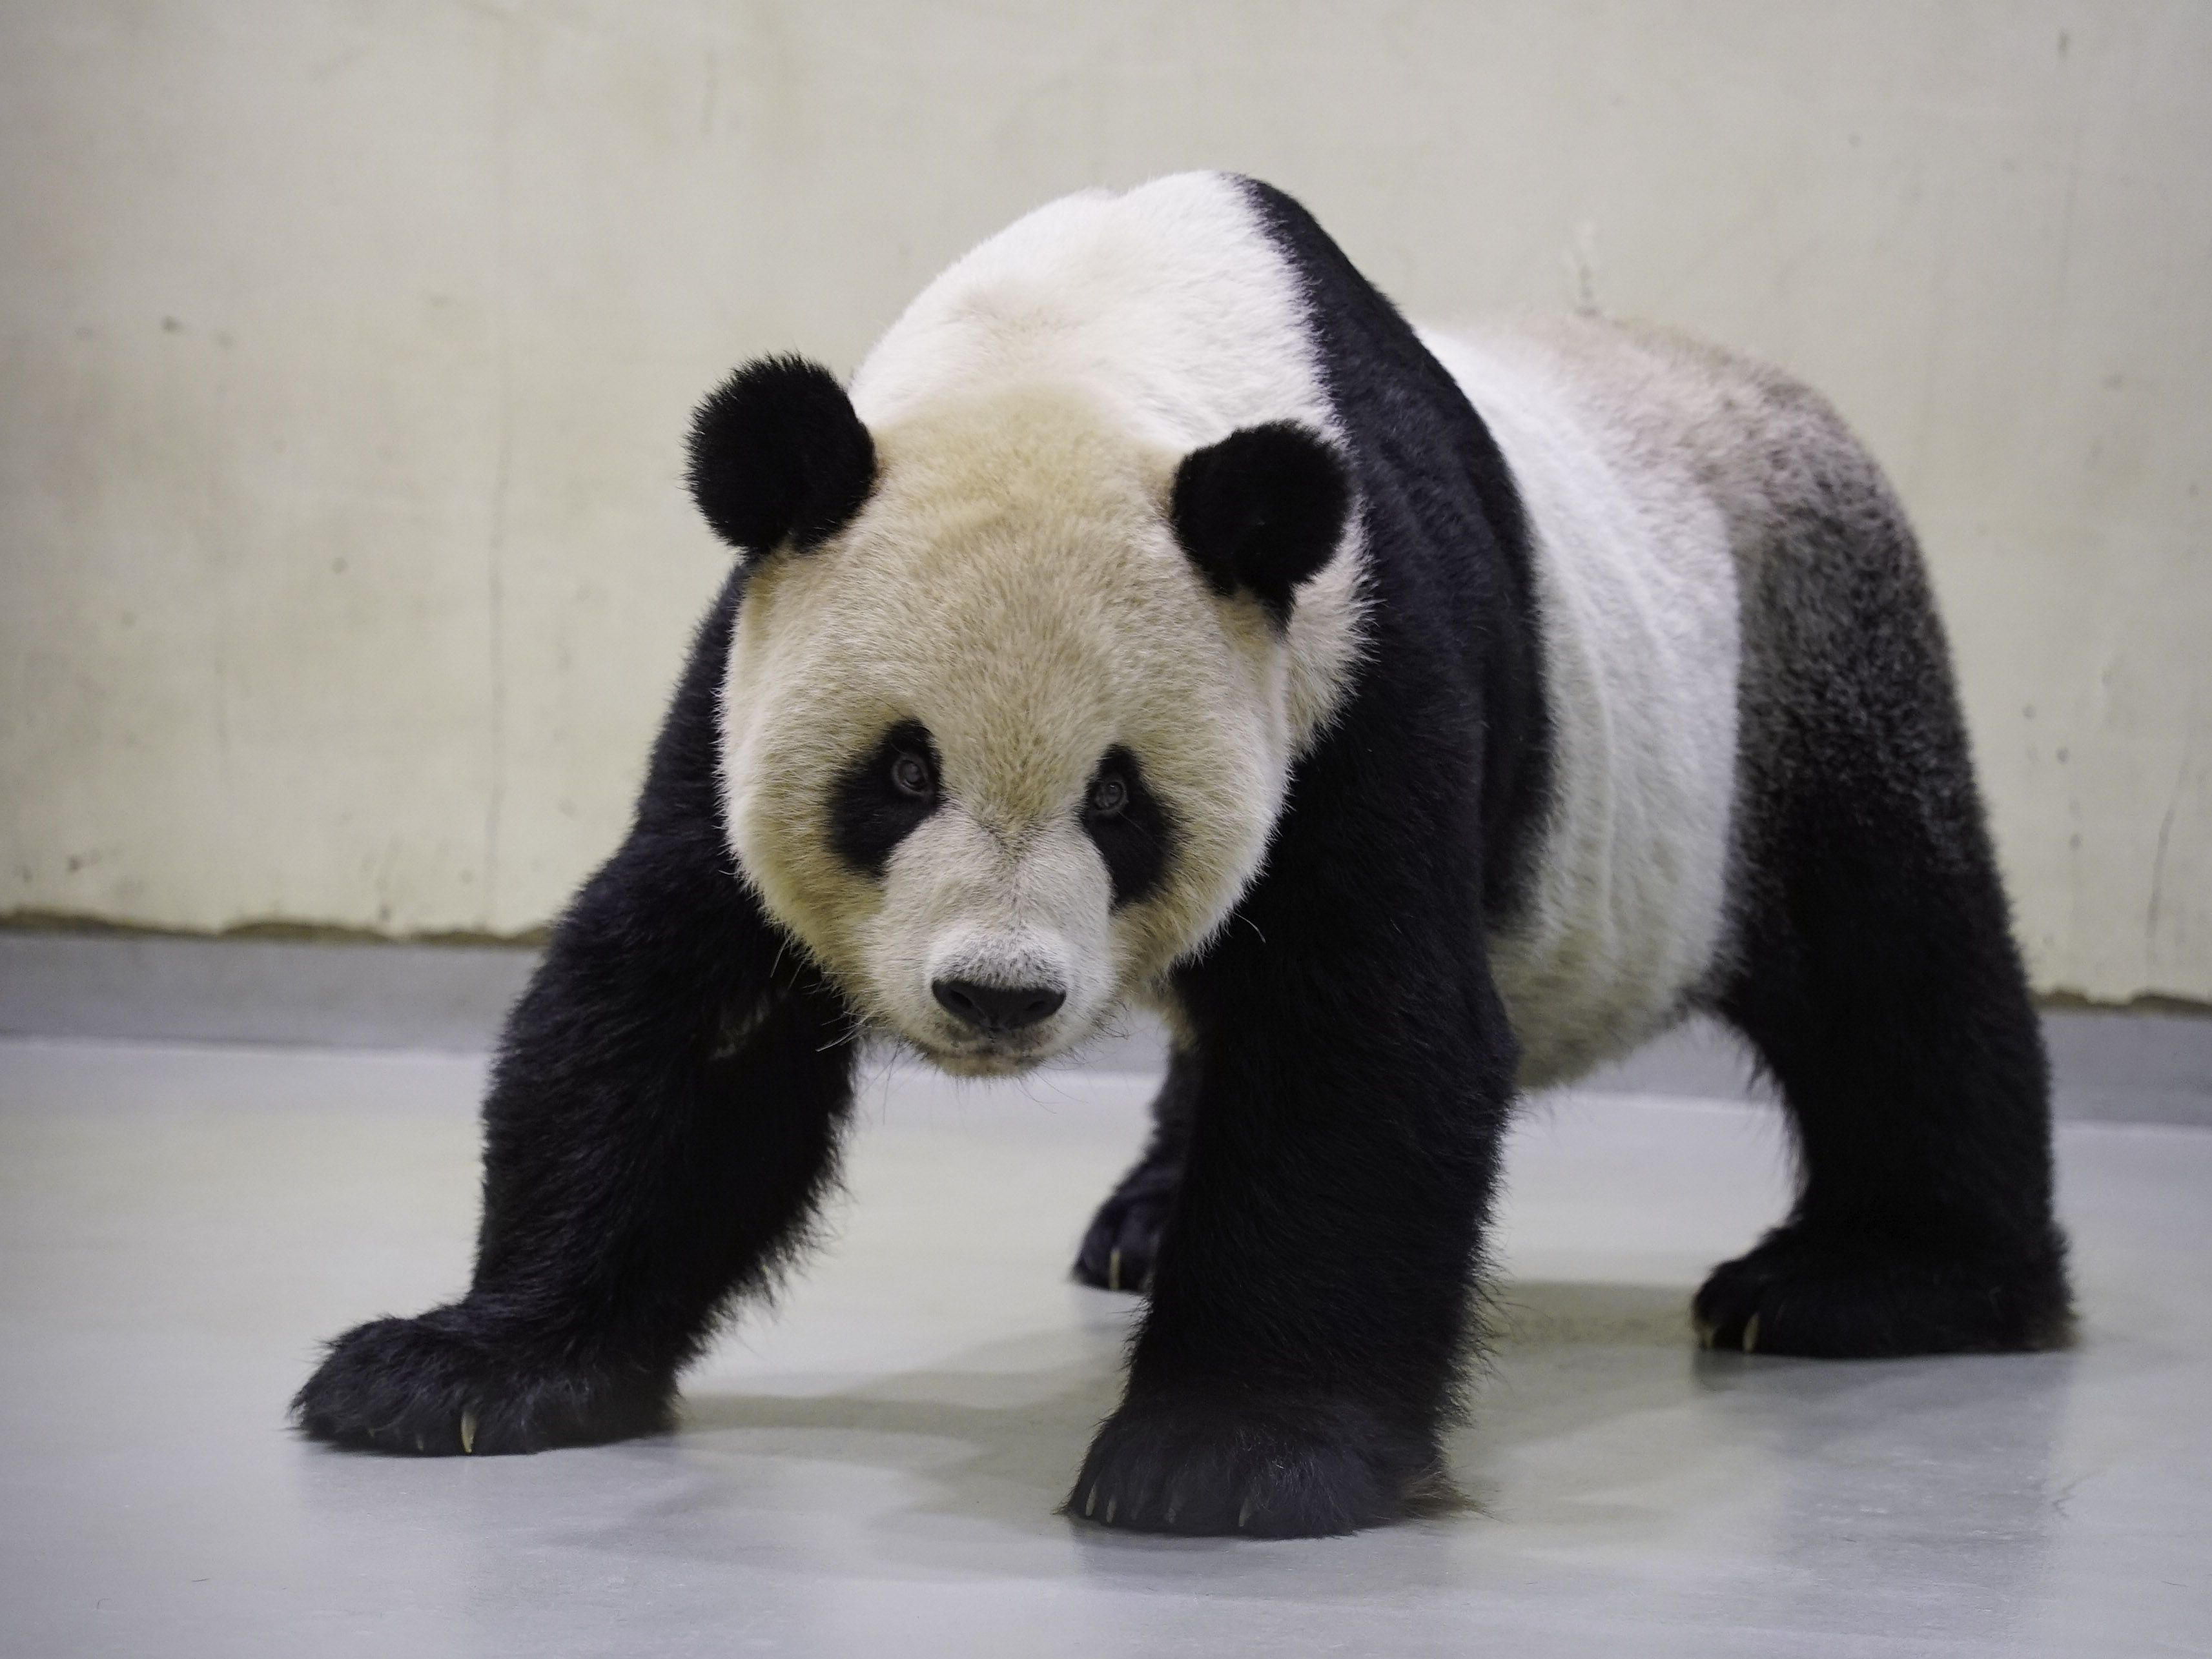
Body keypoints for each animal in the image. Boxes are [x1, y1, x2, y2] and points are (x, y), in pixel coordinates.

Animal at [294, 172, 2071, 1538]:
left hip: (1798, 678)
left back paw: (1870, 1282)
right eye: (900, 773)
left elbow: (1367, 1036)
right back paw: (1146, 1221)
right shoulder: (751, 657)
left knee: (1897, 968)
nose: (996, 997)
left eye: (1120, 799)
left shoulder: (1352, 668)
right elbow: (676, 1013)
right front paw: (460, 1367)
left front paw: (1233, 1453)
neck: (1086, 344)